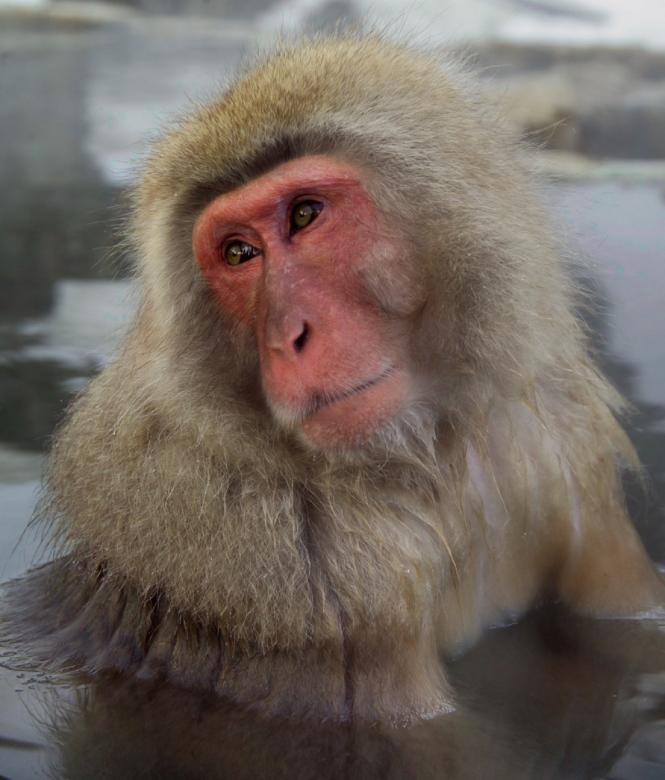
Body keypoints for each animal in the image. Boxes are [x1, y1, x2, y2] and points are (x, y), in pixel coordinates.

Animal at [2, 35, 664, 726]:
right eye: (238, 253)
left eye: (305, 215)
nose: (287, 337)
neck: (426, 461)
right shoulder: (274, 570)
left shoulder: (556, 437)